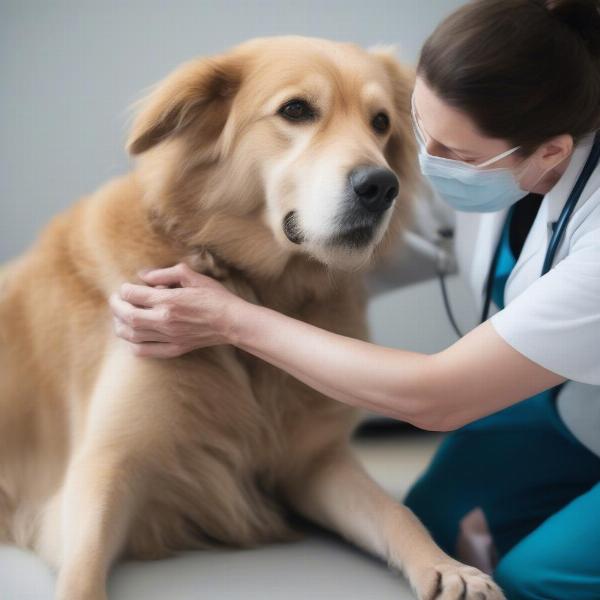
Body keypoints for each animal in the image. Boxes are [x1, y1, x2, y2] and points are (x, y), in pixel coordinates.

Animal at [0, 37, 504, 600]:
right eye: (296, 110)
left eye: (381, 123)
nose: (381, 187)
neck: (256, 287)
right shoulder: (104, 463)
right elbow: (83, 570)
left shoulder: (312, 463)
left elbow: (396, 513)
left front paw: (450, 567)